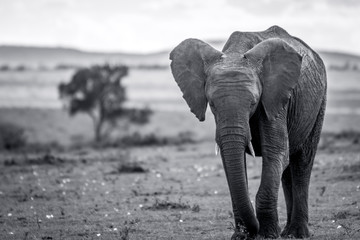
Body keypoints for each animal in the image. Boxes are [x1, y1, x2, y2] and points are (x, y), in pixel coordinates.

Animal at [169, 25, 326, 239]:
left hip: (319, 102)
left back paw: (297, 233)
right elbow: (231, 159)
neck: (235, 54)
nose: (251, 230)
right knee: (288, 169)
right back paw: (287, 232)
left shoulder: (274, 98)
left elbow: (275, 152)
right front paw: (241, 235)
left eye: (253, 102)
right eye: (212, 104)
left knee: (302, 162)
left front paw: (267, 234)